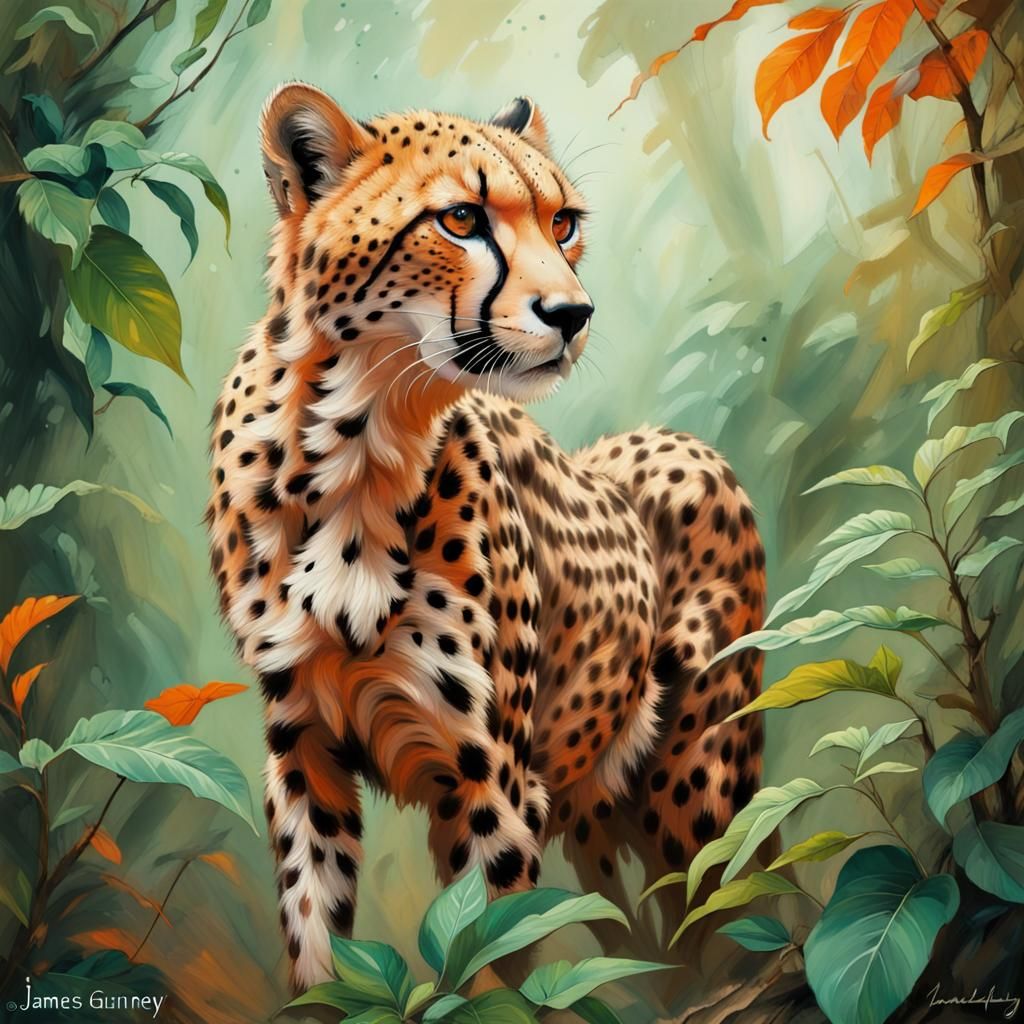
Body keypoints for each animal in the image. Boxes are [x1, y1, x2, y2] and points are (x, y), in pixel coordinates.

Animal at [206, 83, 766, 991]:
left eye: (563, 222)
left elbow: (487, 959)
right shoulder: (303, 750)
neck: (359, 440)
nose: (573, 313)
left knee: (732, 909)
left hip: (695, 785)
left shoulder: (492, 780)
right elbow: (316, 937)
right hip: (593, 808)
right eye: (461, 218)